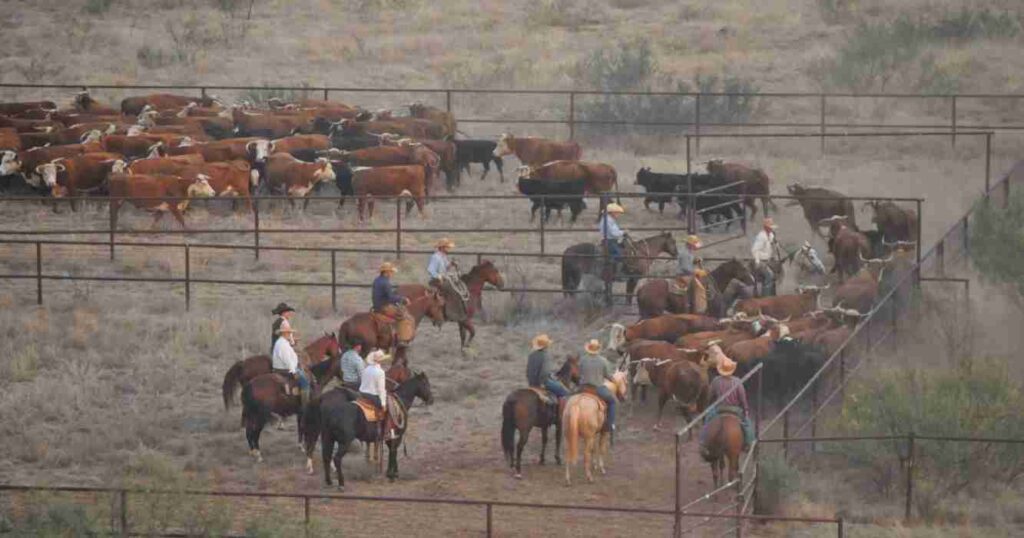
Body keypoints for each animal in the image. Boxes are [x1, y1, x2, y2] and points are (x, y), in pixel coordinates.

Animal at [303, 368, 432, 485]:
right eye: (426, 383)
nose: (431, 399)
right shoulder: (396, 437)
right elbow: (393, 452)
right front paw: (392, 475)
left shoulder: (388, 438)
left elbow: (390, 452)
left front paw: (391, 473)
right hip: (344, 442)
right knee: (336, 458)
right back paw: (341, 483)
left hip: (327, 437)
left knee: (326, 456)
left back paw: (328, 481)